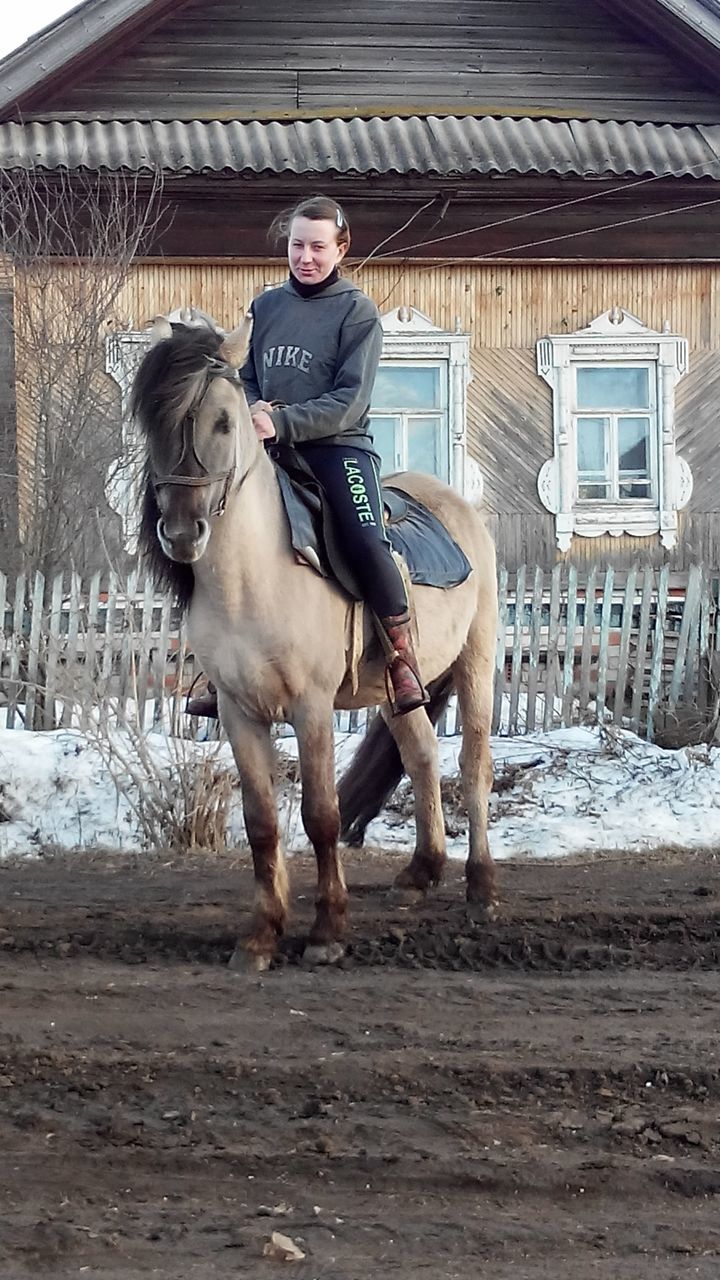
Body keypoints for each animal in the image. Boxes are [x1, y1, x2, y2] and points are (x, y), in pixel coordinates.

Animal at [131, 317, 497, 967]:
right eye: (152, 422)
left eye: (224, 422)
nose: (180, 532)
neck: (252, 577)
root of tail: (456, 505)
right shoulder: (237, 712)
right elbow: (260, 821)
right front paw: (261, 933)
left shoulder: (311, 707)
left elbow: (322, 815)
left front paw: (327, 931)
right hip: (396, 689)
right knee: (421, 752)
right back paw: (422, 872)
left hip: (476, 661)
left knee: (474, 765)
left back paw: (480, 888)